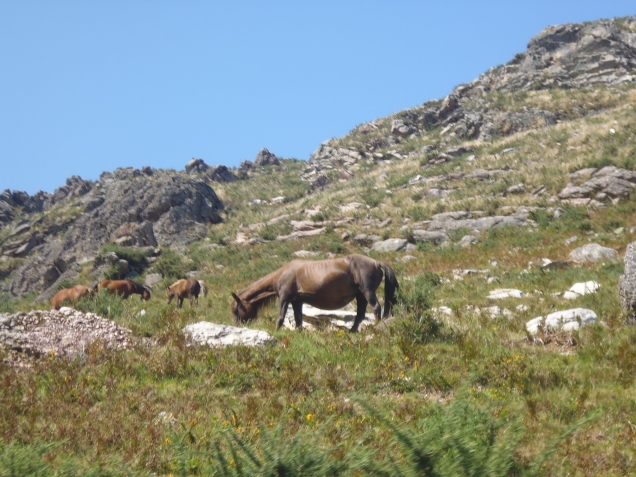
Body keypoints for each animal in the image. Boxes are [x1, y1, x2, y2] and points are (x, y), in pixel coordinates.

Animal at [229, 253, 398, 330]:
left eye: (235, 309)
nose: (237, 325)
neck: (283, 274)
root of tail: (376, 262)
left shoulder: (284, 298)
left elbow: (280, 318)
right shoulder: (297, 302)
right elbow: (298, 321)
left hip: (367, 292)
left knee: (376, 308)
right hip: (360, 296)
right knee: (360, 315)